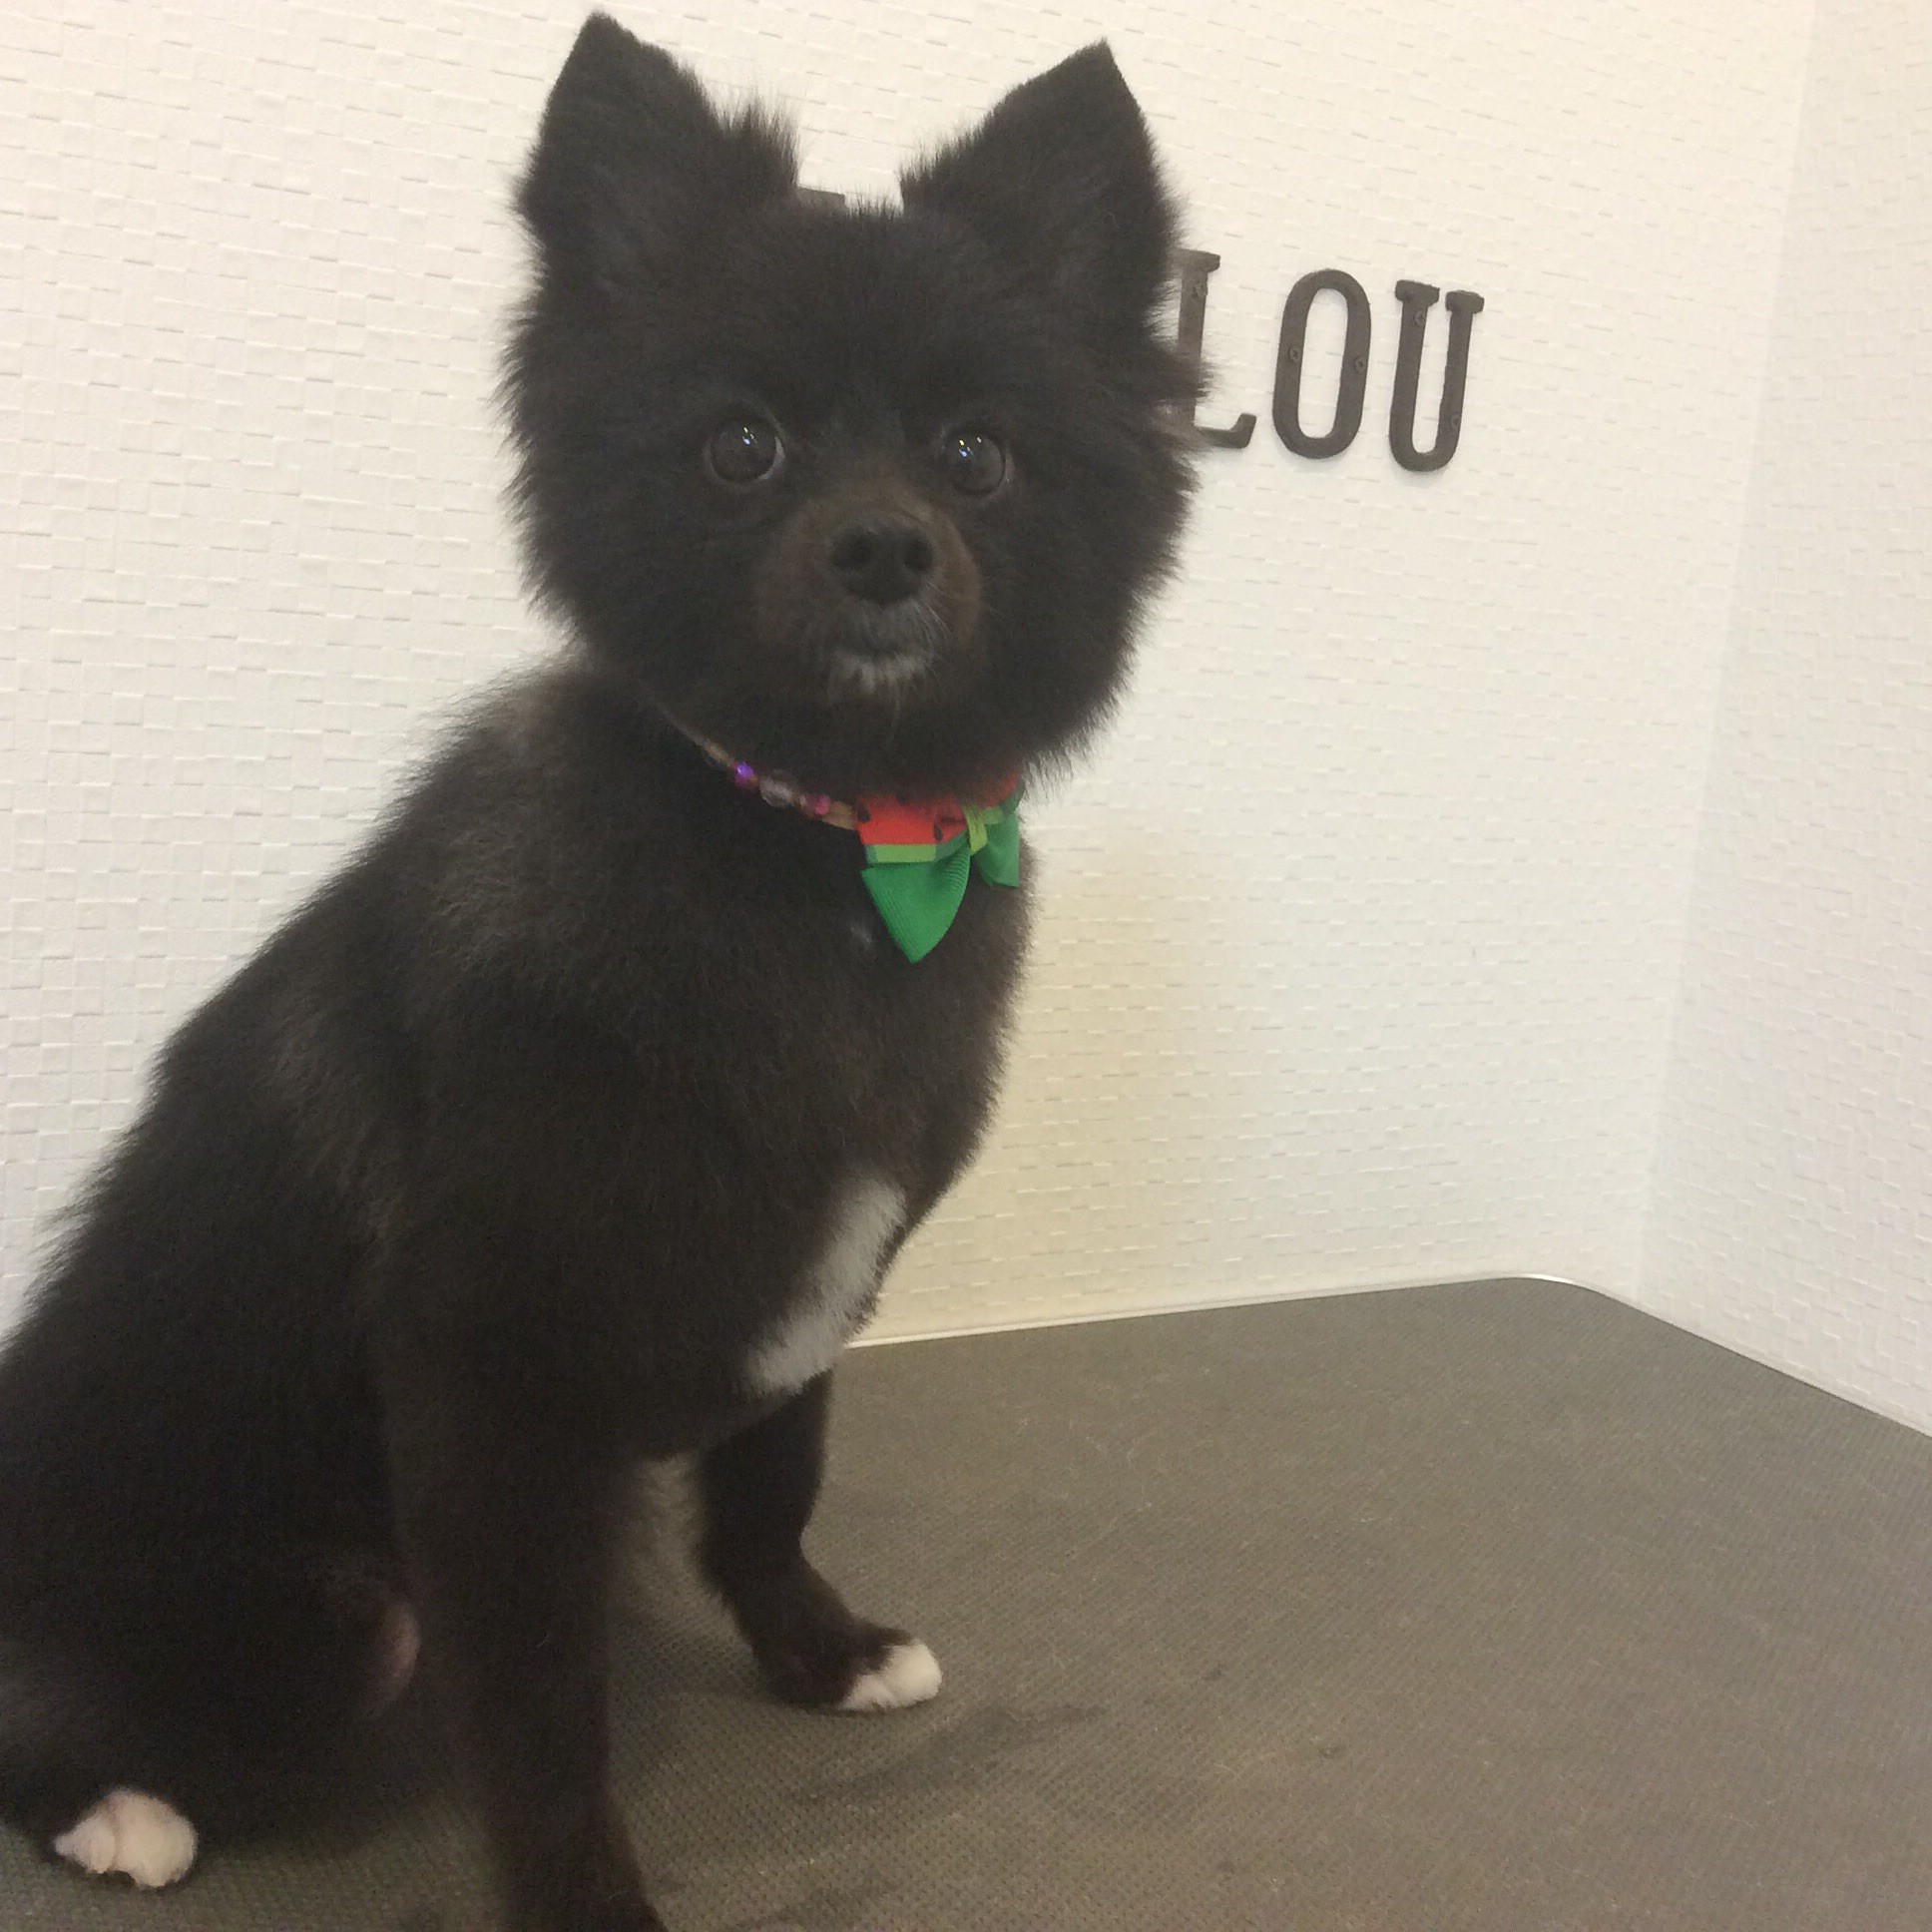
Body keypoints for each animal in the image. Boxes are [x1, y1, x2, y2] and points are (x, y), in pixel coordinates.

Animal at [0, 15, 1195, 1928]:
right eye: (742, 448)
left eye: (976, 455)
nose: (881, 546)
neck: (821, 852)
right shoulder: (488, 1379)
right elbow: (539, 1696)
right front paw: (579, 1884)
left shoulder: (809, 1303)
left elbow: (772, 1493)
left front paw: (822, 1654)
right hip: (329, 1615)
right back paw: (118, 1808)